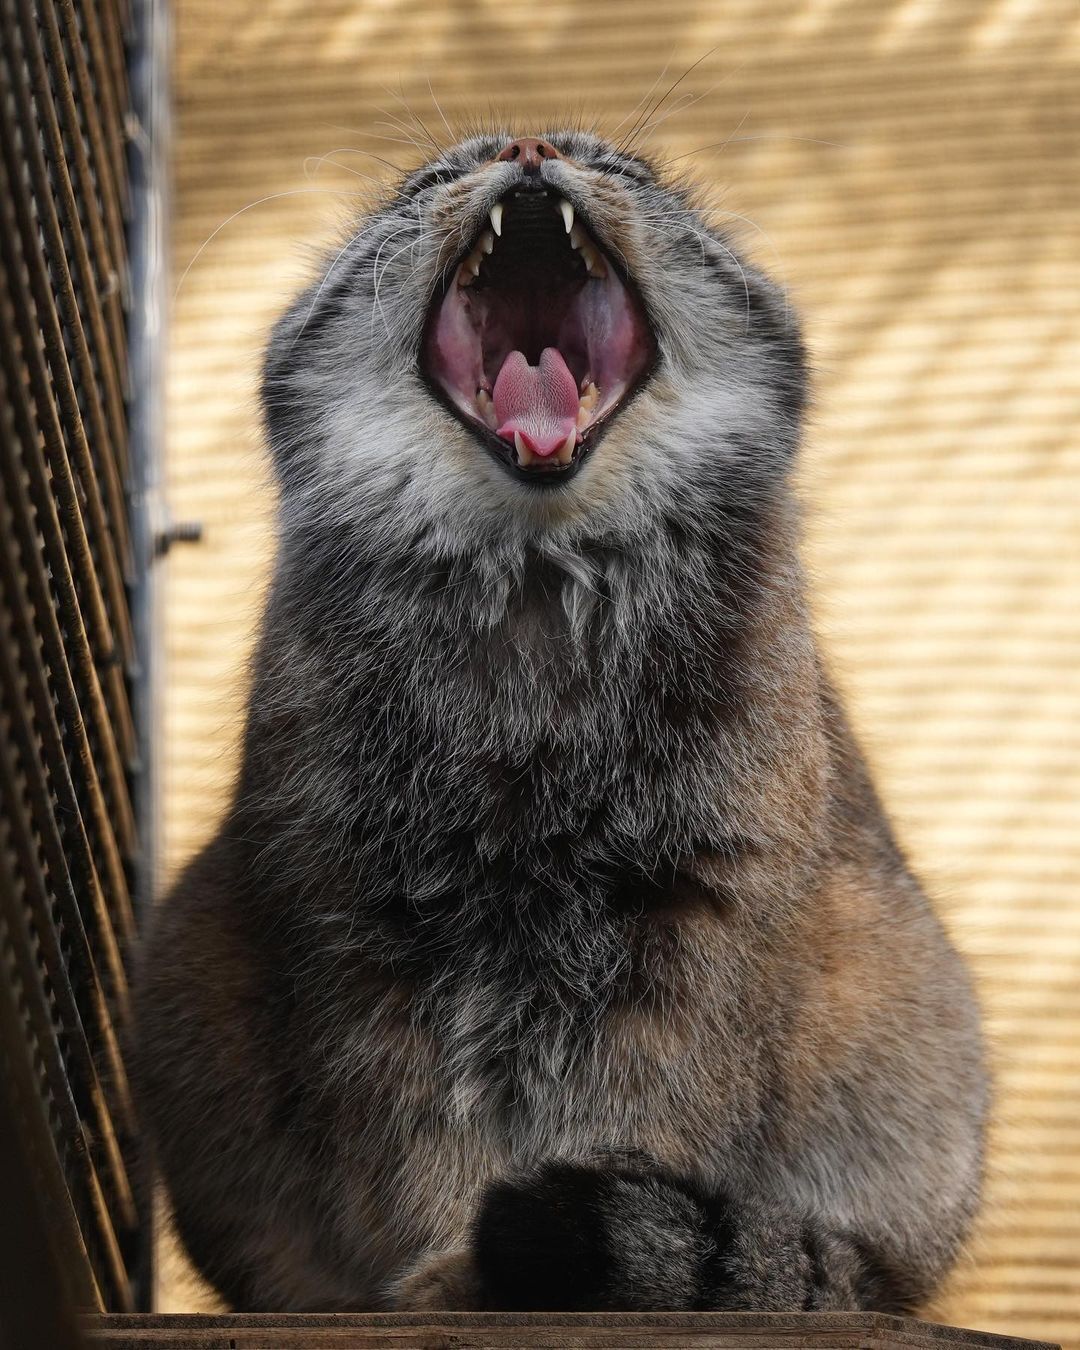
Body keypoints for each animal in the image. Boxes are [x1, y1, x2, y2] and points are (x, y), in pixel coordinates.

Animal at [137, 131, 988, 1312]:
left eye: (618, 166)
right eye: (428, 181)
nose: (530, 142)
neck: (536, 593)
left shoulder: (702, 915)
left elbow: (641, 1118)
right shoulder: (356, 923)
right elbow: (411, 1134)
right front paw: (444, 1273)